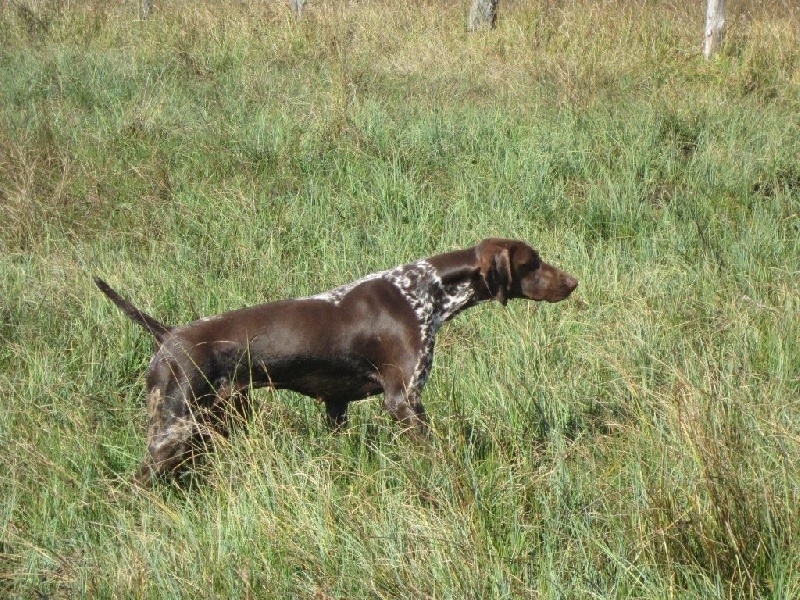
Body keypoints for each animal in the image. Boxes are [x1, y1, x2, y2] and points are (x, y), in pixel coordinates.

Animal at [97, 237, 580, 486]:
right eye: (533, 263)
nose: (574, 282)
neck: (426, 290)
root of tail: (168, 336)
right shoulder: (404, 401)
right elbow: (432, 454)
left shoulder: (337, 407)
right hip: (173, 429)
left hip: (207, 426)